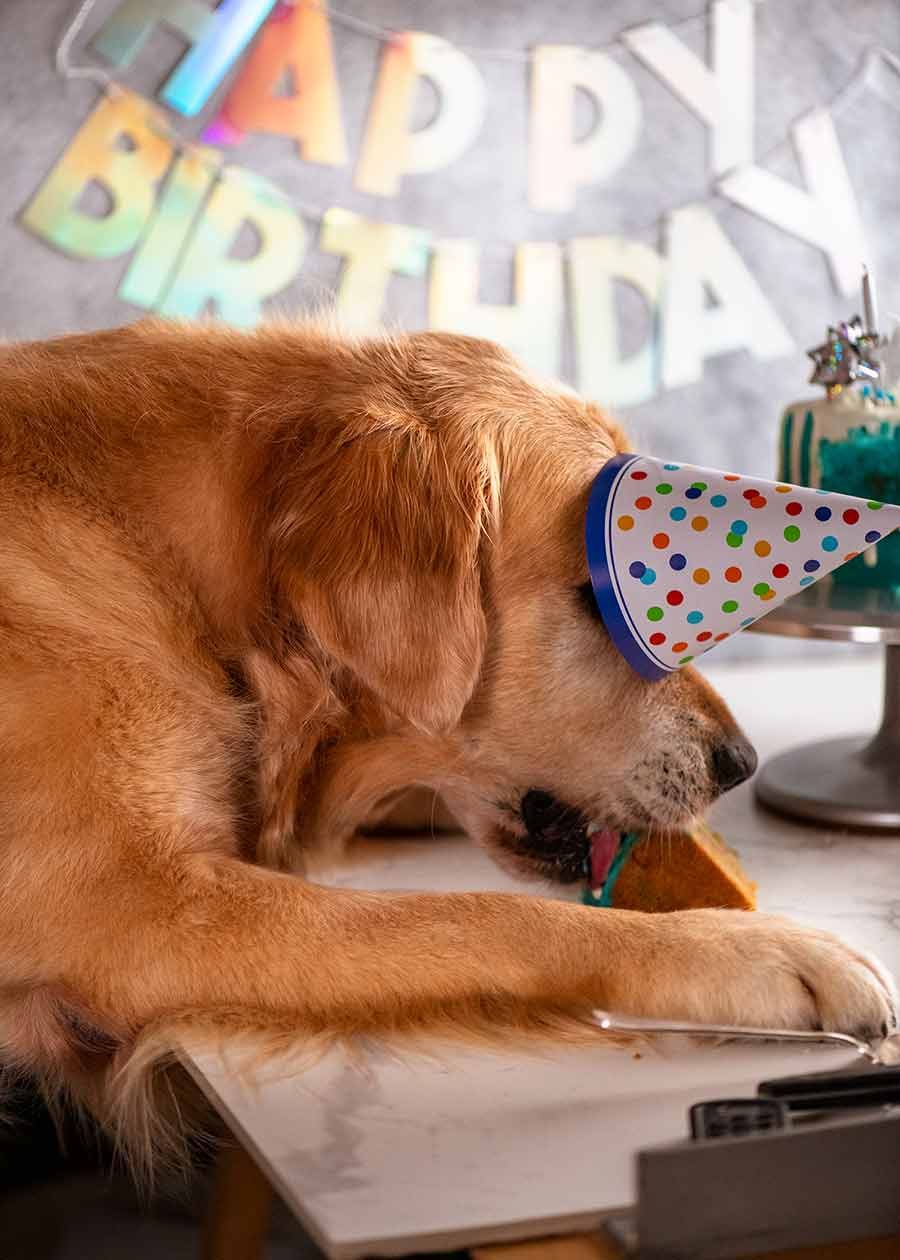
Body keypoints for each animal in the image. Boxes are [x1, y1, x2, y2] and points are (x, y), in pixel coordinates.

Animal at [0, 320, 892, 1174]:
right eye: (596, 597)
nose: (740, 764)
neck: (171, 565)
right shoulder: (138, 910)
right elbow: (492, 917)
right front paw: (754, 952)